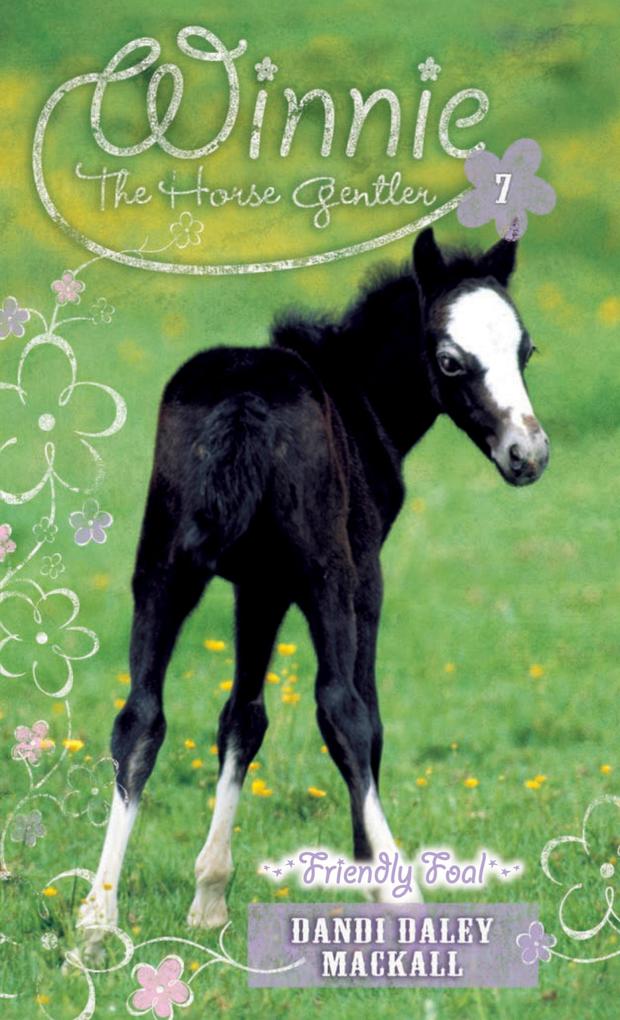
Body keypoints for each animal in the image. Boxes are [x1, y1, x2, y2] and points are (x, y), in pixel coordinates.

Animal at [79, 227, 549, 946]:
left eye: (526, 350)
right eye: (449, 361)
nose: (528, 456)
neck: (357, 397)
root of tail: (242, 400)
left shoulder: (258, 586)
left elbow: (241, 717)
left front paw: (209, 895)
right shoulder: (363, 574)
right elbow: (364, 717)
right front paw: (369, 875)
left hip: (160, 568)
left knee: (139, 718)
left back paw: (97, 919)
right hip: (325, 570)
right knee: (340, 709)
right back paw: (404, 897)